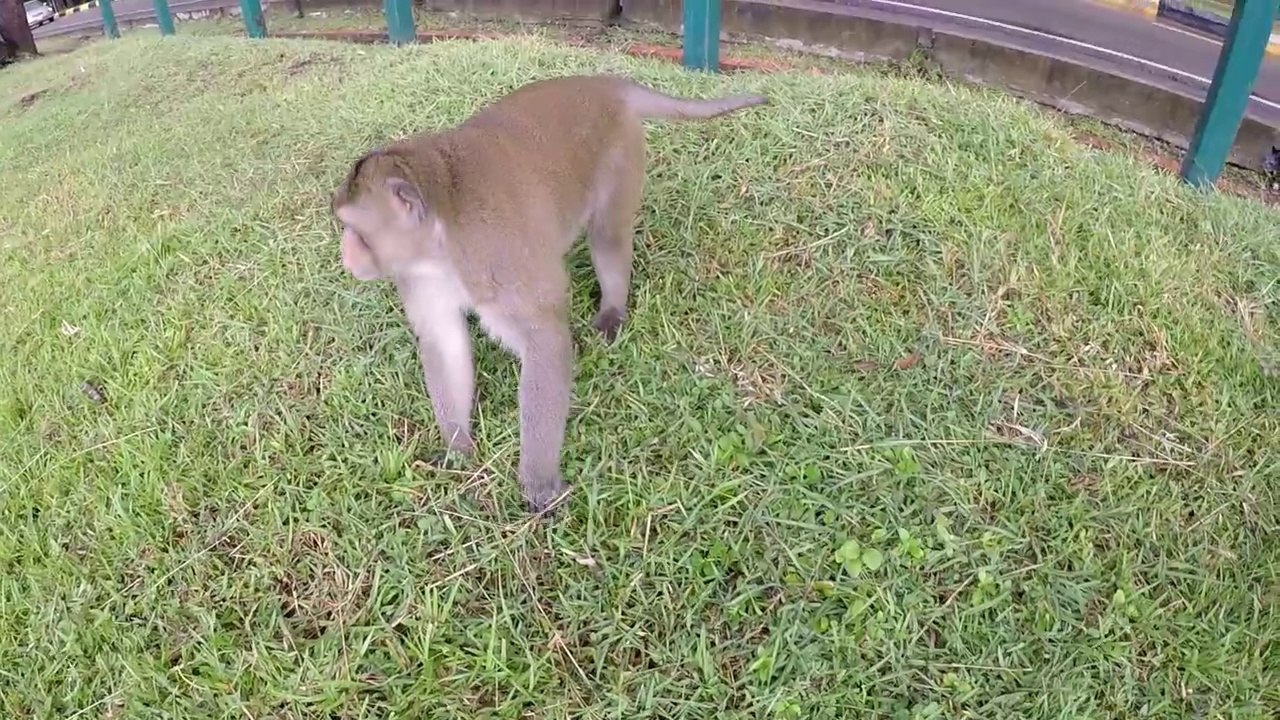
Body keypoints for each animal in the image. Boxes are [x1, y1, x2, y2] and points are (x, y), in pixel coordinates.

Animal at [332, 74, 768, 513]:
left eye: (355, 230)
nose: (345, 253)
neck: (441, 240)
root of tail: (601, 83)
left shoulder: (497, 256)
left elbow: (545, 339)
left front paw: (538, 482)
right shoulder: (421, 273)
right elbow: (444, 339)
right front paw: (458, 448)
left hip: (621, 154)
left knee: (608, 234)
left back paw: (613, 305)